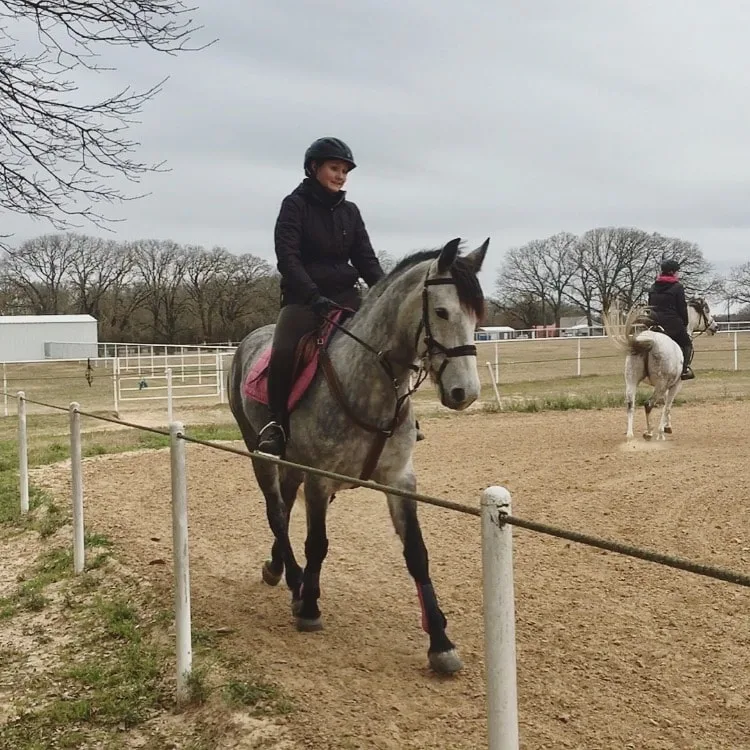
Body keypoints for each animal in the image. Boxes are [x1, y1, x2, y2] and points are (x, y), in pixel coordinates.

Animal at [226, 239, 490, 676]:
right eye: (441, 312)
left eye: (476, 316)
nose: (464, 393)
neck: (370, 381)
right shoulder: (318, 477)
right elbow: (318, 543)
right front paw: (310, 608)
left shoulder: (400, 480)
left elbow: (417, 554)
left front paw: (440, 642)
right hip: (259, 454)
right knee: (277, 513)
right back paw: (295, 582)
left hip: (292, 467)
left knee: (284, 510)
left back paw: (279, 569)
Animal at [604, 298, 720, 440]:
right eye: (707, 310)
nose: (715, 327)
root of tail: (650, 341)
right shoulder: (675, 385)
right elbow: (667, 406)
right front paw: (662, 431)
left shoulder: (666, 385)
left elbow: (665, 404)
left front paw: (666, 426)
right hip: (660, 384)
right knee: (649, 404)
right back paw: (650, 432)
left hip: (632, 380)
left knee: (630, 404)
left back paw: (630, 435)